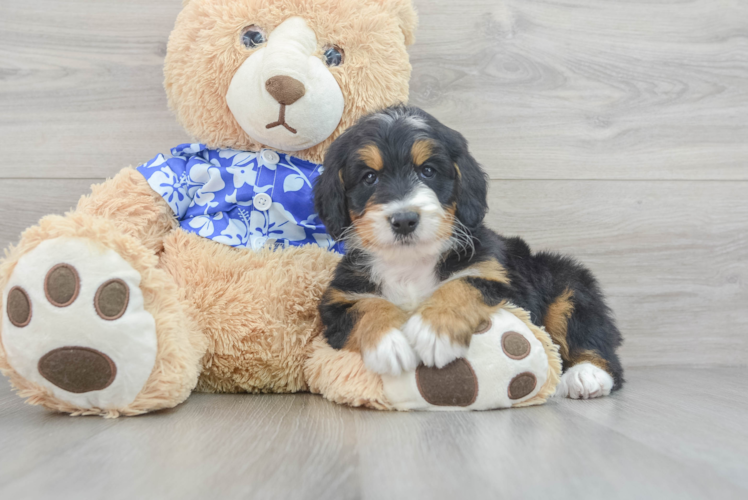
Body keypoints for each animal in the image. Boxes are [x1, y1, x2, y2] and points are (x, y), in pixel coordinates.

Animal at [312, 105, 624, 398]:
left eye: (428, 170)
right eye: (369, 177)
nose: (404, 220)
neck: (410, 262)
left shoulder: (496, 276)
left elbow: (460, 285)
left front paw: (433, 331)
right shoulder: (338, 299)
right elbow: (366, 307)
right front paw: (390, 342)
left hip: (566, 279)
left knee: (591, 334)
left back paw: (587, 374)